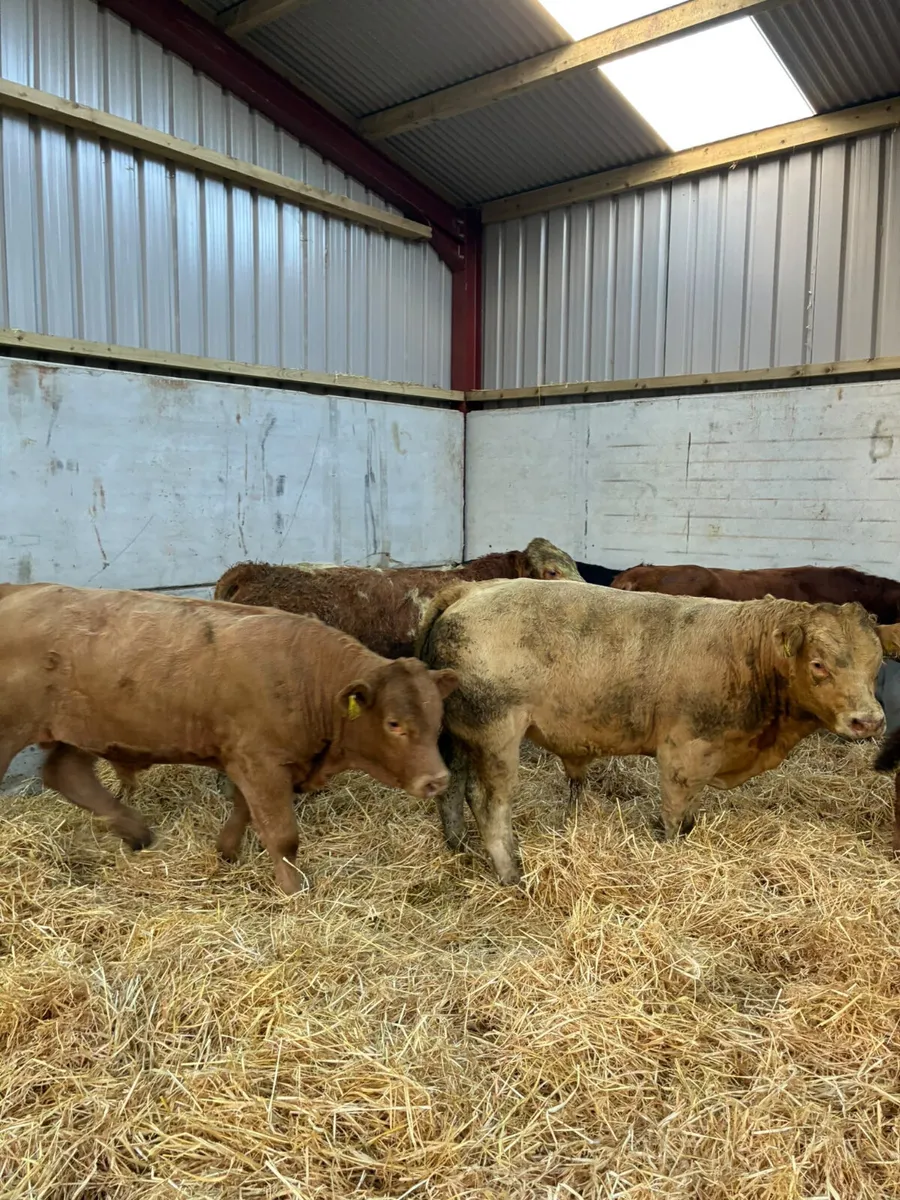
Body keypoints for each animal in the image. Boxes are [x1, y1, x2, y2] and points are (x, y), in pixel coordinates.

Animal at [0, 583, 457, 893]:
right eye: (394, 724)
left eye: (438, 718)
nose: (438, 780)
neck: (310, 678)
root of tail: (20, 589)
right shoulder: (262, 763)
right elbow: (282, 834)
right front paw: (294, 891)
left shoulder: (248, 760)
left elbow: (243, 811)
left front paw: (227, 851)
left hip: (82, 731)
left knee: (66, 774)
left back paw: (136, 831)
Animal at [416, 577, 899, 885]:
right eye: (818, 664)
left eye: (877, 662)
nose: (869, 720)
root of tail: (470, 589)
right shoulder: (682, 754)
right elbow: (672, 818)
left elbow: (688, 817)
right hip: (495, 732)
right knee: (488, 802)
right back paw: (512, 874)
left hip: (458, 735)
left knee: (452, 788)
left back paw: (457, 847)